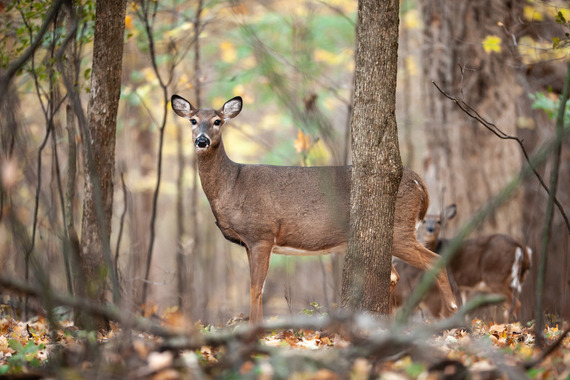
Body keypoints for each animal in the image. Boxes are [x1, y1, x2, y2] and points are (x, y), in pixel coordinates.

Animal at [170, 95, 458, 324]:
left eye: (217, 121)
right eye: (193, 120)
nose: (202, 141)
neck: (233, 184)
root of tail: (418, 181)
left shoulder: (261, 234)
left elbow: (255, 288)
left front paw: (255, 329)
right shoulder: (250, 243)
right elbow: (256, 287)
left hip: (399, 228)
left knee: (434, 260)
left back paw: (454, 313)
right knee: (394, 276)